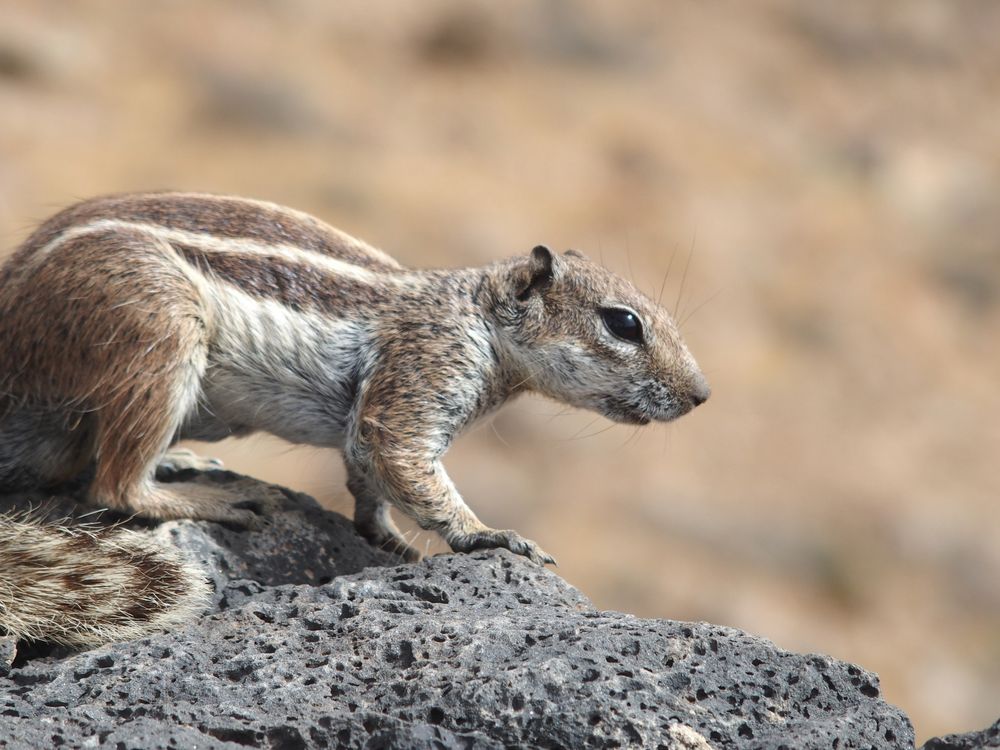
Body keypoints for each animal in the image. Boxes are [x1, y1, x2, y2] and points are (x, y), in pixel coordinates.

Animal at [0, 192, 708, 648]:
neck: (476, 314)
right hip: (157, 330)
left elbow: (370, 487)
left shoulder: (372, 418)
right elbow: (408, 467)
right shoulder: (417, 379)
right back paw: (212, 497)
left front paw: (393, 542)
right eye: (624, 323)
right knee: (115, 483)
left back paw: (185, 460)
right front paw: (491, 535)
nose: (701, 394)